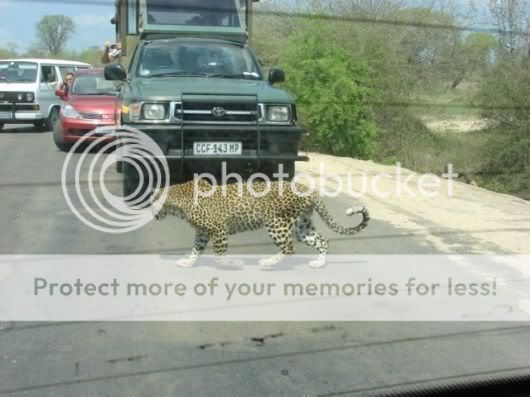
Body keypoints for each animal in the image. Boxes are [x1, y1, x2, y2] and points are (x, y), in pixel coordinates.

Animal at [148, 180, 368, 270]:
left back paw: (267, 263)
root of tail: (310, 191)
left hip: (275, 222)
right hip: (301, 226)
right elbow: (195, 250)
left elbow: (219, 254)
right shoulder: (202, 233)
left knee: (289, 248)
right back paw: (318, 263)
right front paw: (187, 263)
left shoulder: (219, 229)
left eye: (152, 202)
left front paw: (232, 264)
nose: (152, 215)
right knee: (322, 241)